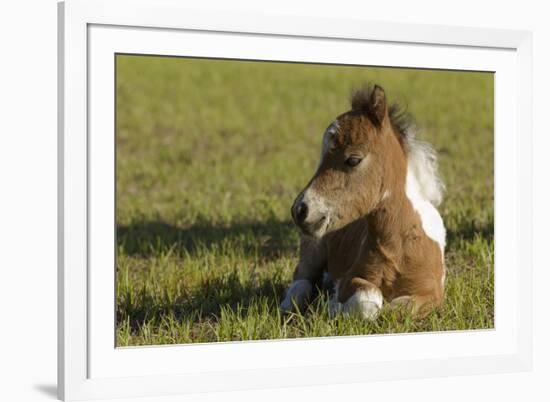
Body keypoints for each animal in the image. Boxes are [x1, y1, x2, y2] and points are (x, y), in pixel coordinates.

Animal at [282, 85, 446, 320]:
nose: (300, 210)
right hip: (312, 247)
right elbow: (369, 301)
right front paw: (332, 305)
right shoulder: (353, 277)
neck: (398, 246)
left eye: (353, 159)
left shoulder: (432, 292)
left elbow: (400, 308)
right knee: (302, 279)